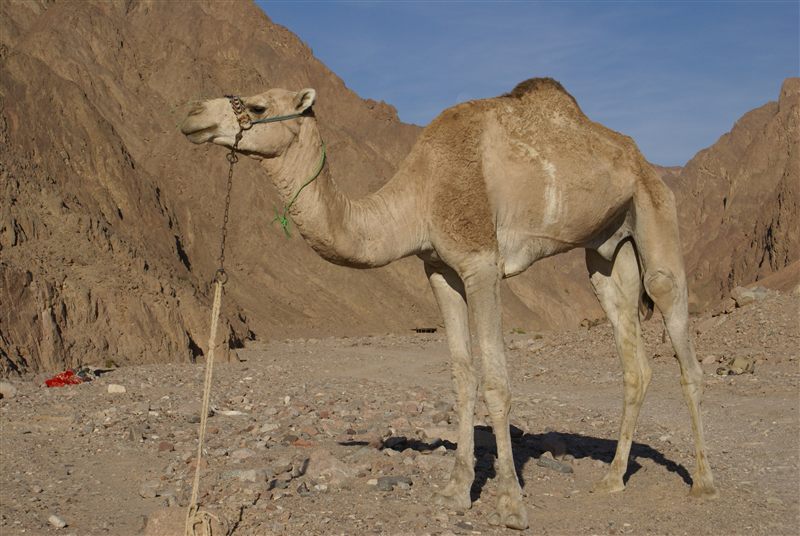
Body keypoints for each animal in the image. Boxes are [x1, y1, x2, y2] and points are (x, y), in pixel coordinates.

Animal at [180, 78, 717, 529]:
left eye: (257, 106)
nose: (193, 115)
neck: (419, 194)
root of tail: (643, 160)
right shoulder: (439, 270)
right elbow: (462, 376)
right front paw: (456, 492)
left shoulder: (481, 263)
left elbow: (496, 380)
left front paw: (511, 505)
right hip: (606, 251)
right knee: (634, 359)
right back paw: (611, 479)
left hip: (655, 213)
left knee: (681, 337)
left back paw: (704, 483)